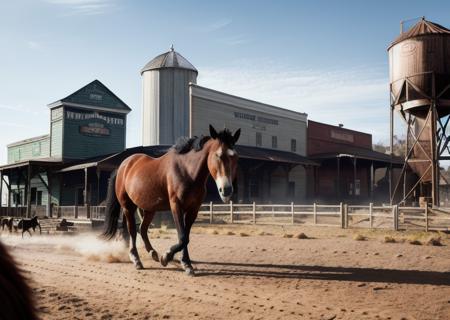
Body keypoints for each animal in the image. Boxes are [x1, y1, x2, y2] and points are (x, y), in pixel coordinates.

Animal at [103, 125, 241, 276]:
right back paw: (136, 259)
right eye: (218, 155)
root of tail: (123, 166)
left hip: (149, 209)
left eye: (235, 157)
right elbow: (182, 236)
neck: (187, 171)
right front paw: (167, 257)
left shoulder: (193, 209)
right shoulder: (176, 206)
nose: (226, 190)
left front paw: (186, 263)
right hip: (128, 206)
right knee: (132, 230)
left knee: (142, 229)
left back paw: (153, 253)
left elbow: (186, 237)